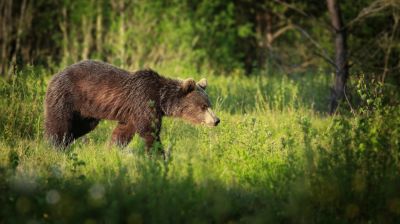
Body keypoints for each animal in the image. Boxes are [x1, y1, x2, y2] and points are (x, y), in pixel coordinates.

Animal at [45, 59, 220, 150]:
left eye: (210, 104)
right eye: (203, 106)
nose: (216, 120)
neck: (161, 99)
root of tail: (54, 75)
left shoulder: (132, 113)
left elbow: (123, 131)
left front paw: (111, 149)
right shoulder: (143, 101)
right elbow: (149, 131)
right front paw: (159, 157)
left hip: (86, 112)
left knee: (81, 127)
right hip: (67, 97)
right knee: (59, 124)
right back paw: (55, 146)